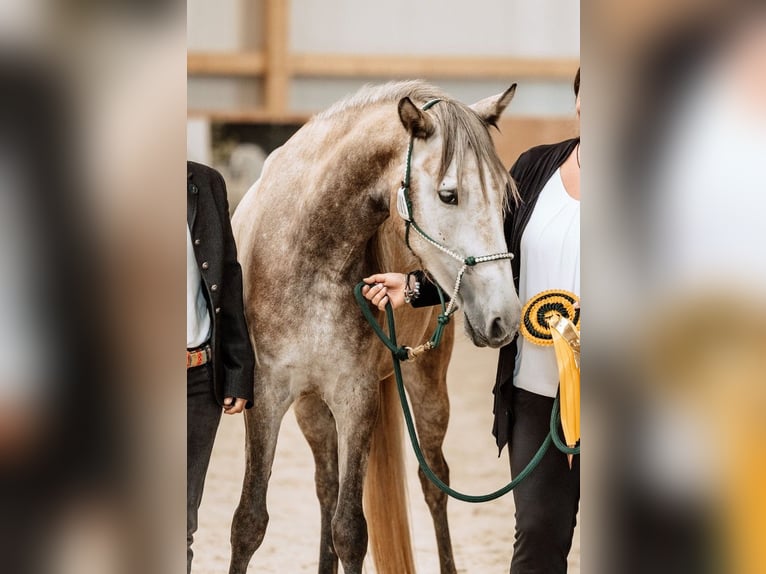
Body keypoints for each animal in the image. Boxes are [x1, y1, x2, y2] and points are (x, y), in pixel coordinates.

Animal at [229, 80, 522, 574]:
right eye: (449, 195)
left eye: (503, 192)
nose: (505, 317)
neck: (305, 252)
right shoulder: (265, 394)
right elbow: (249, 521)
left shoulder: (356, 397)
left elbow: (351, 531)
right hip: (312, 407)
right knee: (325, 486)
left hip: (427, 388)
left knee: (434, 481)